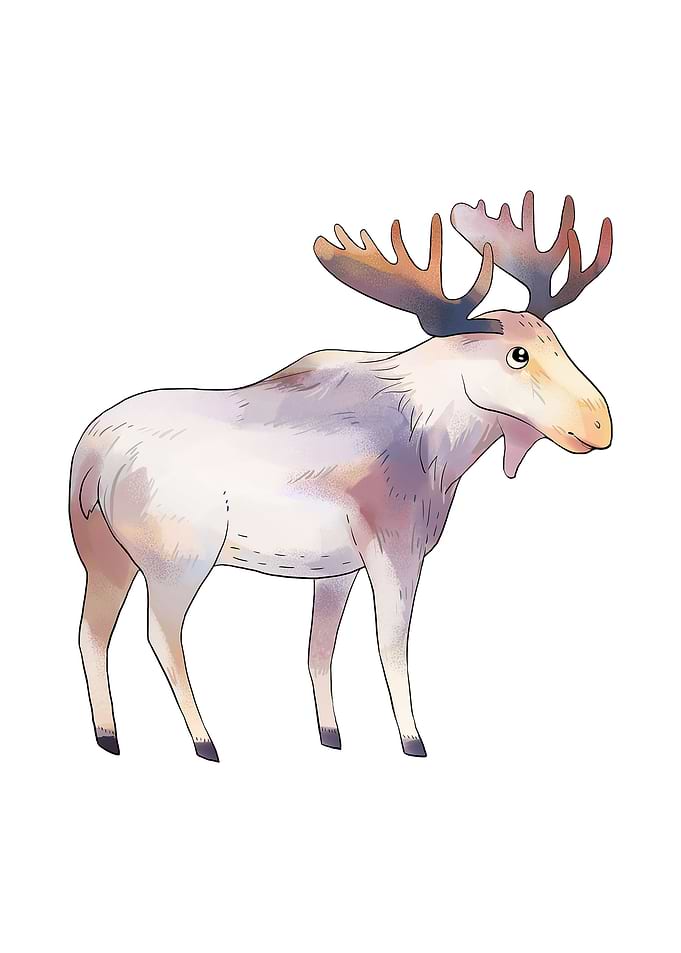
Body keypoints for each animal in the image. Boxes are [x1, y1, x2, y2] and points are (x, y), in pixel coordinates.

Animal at [69, 192, 613, 761]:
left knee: (91, 630)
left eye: (557, 341)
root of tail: (92, 458)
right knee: (161, 635)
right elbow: (391, 645)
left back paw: (108, 734)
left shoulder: (336, 568)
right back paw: (205, 739)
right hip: (178, 559)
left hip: (102, 554)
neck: (442, 450)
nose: (600, 424)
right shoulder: (395, 549)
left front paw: (331, 733)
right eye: (517, 354)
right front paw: (412, 739)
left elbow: (318, 648)